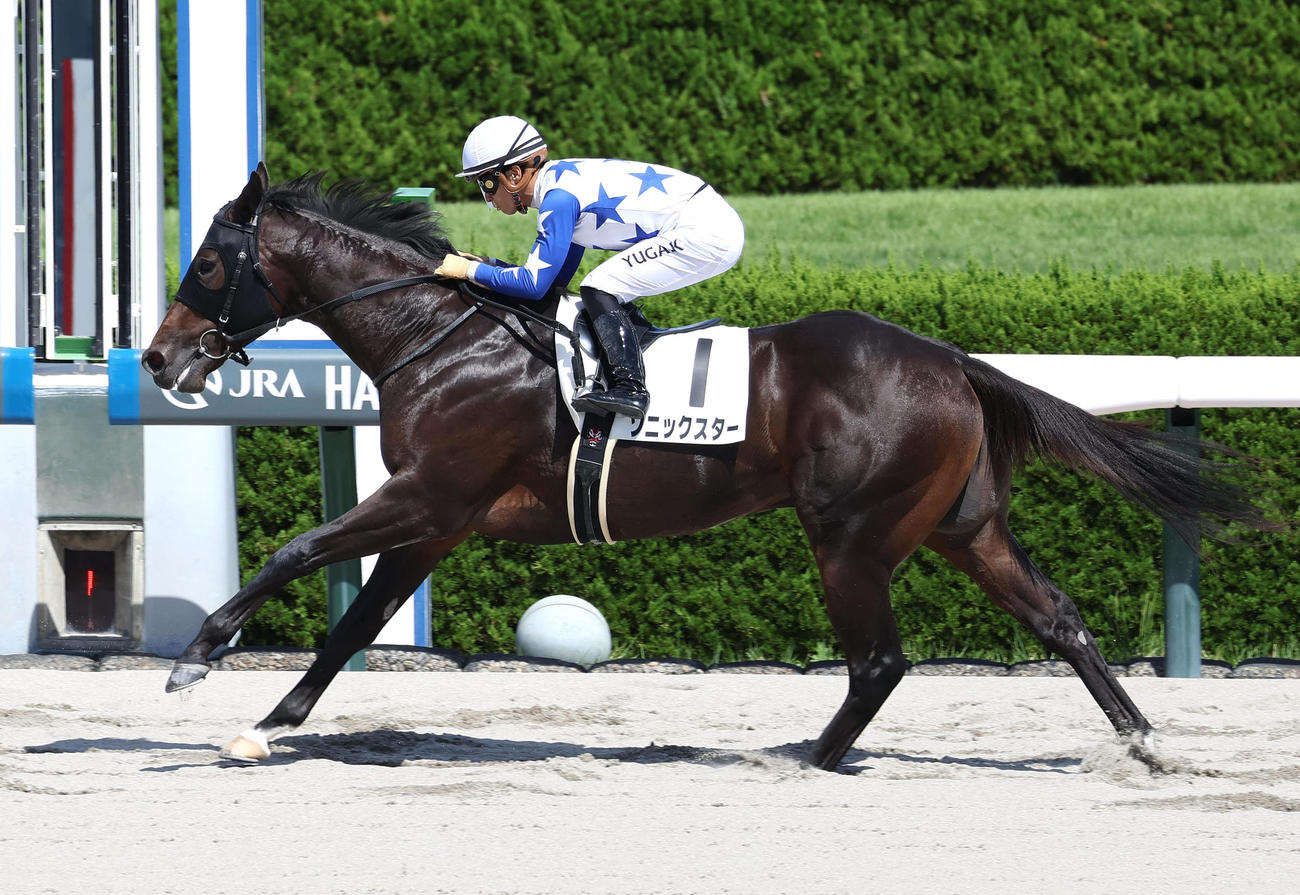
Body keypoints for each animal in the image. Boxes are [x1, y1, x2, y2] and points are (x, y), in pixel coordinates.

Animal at [141, 164, 1274, 771]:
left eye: (210, 261)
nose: (157, 359)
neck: (442, 337)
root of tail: (952, 357)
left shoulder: (429, 493)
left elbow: (295, 552)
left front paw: (196, 659)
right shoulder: (438, 518)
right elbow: (355, 624)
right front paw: (267, 724)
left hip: (851, 534)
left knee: (880, 659)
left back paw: (807, 756)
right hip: (962, 525)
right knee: (1059, 618)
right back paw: (1144, 743)